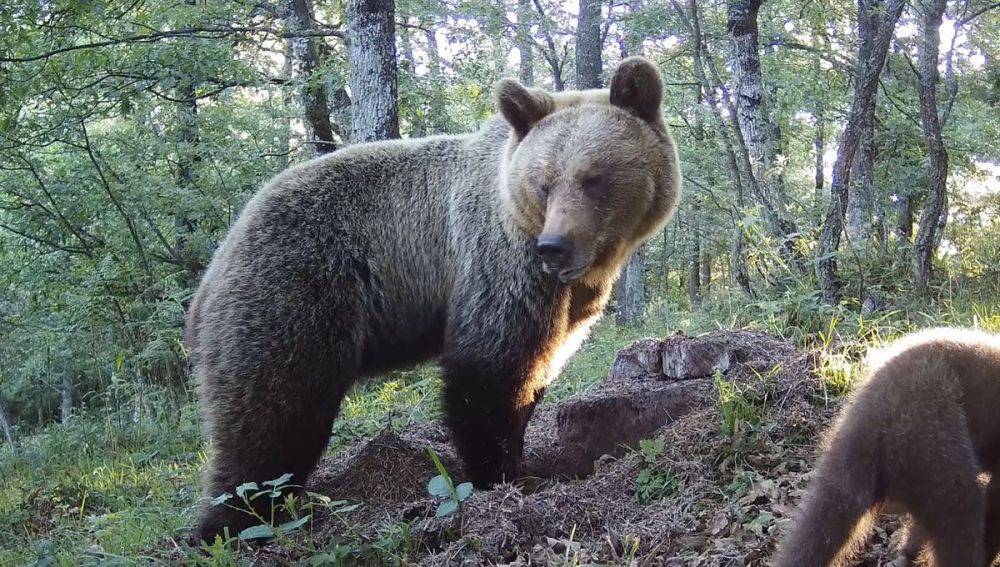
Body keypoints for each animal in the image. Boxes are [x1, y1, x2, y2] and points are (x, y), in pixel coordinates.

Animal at [185, 56, 684, 544]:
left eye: (593, 178)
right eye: (544, 183)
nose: (554, 246)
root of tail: (214, 268)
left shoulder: (569, 302)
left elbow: (539, 367)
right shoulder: (497, 263)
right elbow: (489, 371)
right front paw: (503, 475)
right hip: (294, 292)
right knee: (272, 415)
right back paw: (230, 524)